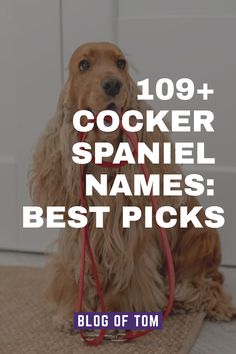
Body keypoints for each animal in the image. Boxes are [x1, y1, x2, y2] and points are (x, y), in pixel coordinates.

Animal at [29, 42, 236, 332]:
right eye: (84, 65)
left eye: (120, 64)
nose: (113, 84)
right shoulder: (78, 237)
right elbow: (73, 276)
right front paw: (70, 313)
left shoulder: (135, 241)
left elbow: (130, 279)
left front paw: (118, 317)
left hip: (201, 237)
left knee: (209, 286)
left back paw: (189, 300)